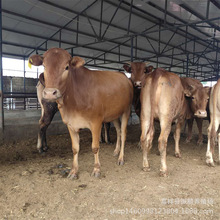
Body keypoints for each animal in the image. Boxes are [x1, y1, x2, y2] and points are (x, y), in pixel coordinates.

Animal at [28, 47, 132, 179]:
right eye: (44, 66)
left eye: (67, 67)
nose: (50, 93)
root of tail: (124, 76)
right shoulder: (70, 124)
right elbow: (75, 148)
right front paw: (73, 171)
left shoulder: (96, 122)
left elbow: (95, 147)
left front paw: (96, 169)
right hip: (114, 114)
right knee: (118, 131)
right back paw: (116, 151)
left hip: (126, 111)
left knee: (123, 133)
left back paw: (121, 158)